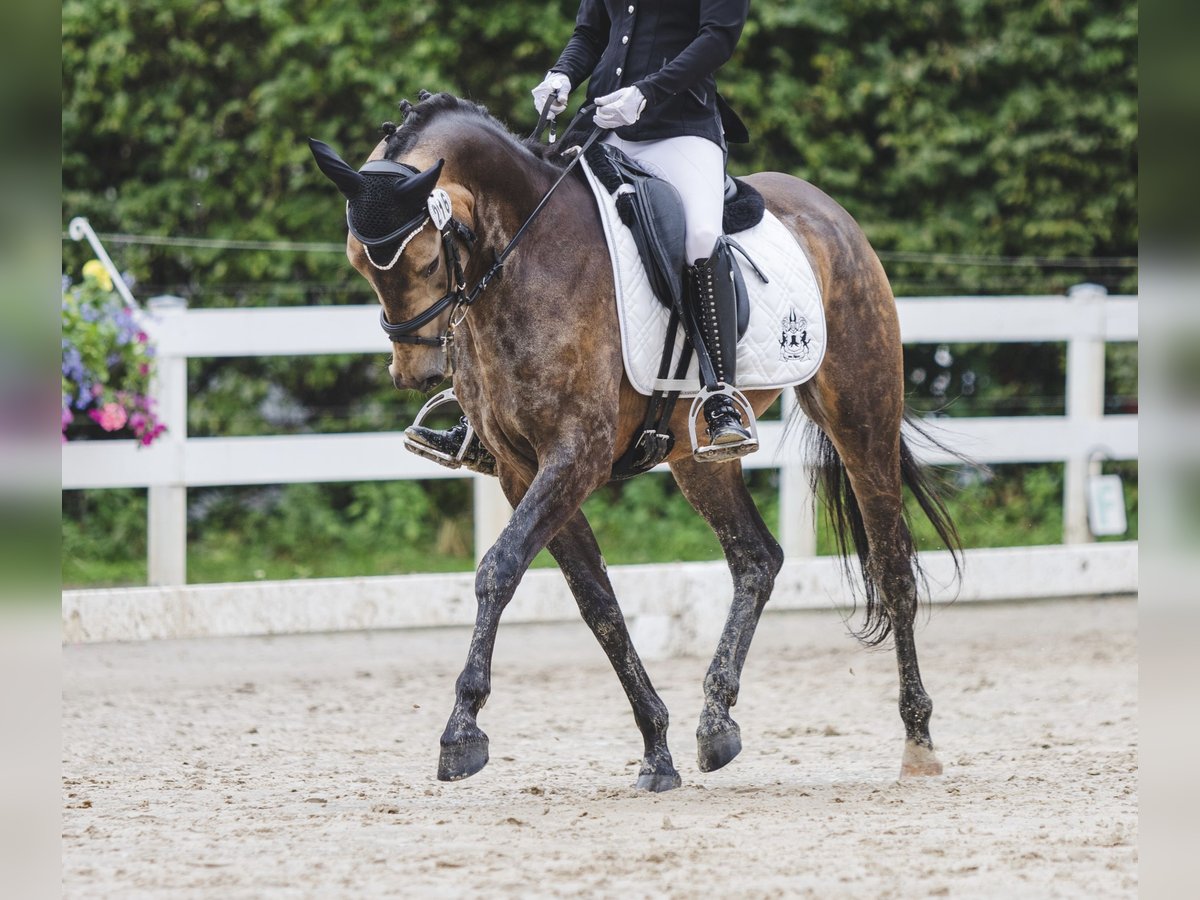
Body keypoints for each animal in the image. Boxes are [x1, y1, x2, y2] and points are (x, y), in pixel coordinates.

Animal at [312, 91, 964, 792]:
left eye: (429, 259)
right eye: (357, 261)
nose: (417, 374)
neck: (526, 257)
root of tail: (829, 211)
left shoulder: (577, 456)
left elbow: (498, 570)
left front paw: (461, 730)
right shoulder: (521, 469)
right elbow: (597, 602)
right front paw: (656, 747)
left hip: (862, 414)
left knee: (892, 562)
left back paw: (918, 740)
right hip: (697, 455)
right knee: (757, 559)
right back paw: (716, 723)